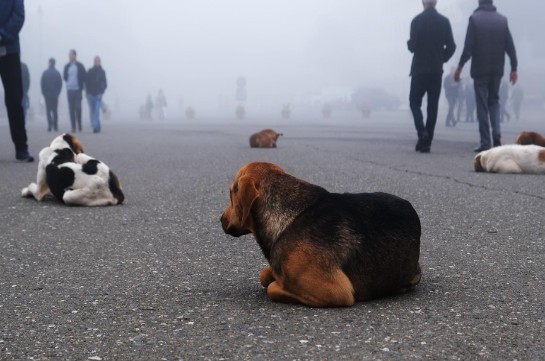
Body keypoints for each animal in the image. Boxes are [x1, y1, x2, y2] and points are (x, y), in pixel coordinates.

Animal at [220, 162, 420, 306]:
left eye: (230, 194)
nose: (220, 219)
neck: (291, 215)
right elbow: (264, 274)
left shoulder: (338, 291)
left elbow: (272, 288)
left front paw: (277, 283)